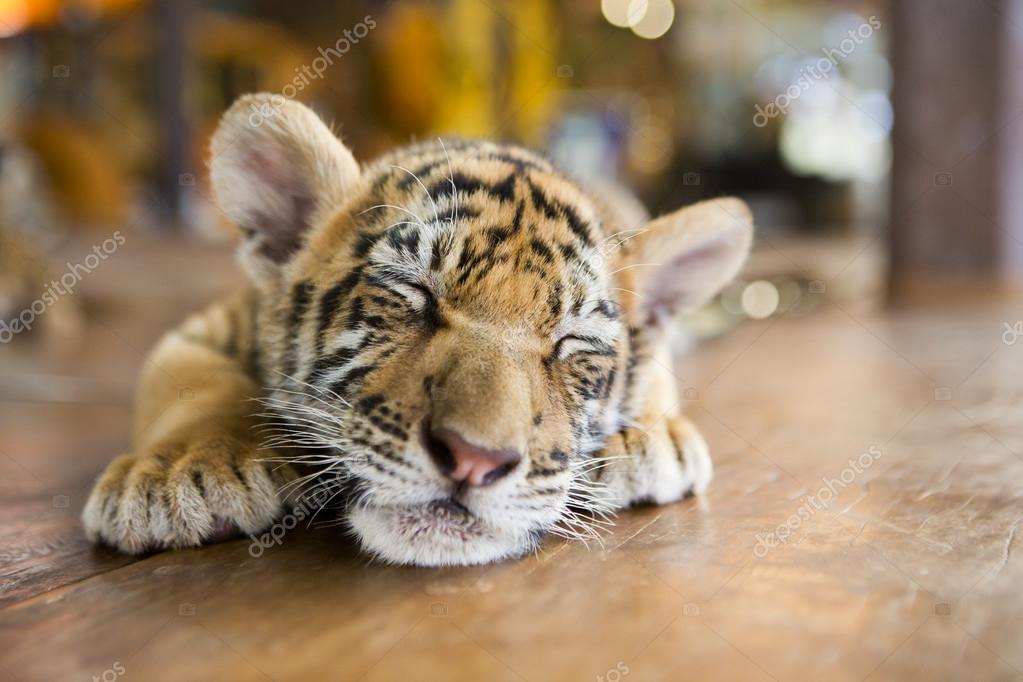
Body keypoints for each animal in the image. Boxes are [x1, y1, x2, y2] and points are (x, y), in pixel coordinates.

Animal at [82, 93, 753, 566]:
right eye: (415, 294)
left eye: (569, 343)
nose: (475, 461)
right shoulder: (202, 328)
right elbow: (191, 383)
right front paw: (179, 473)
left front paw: (651, 437)